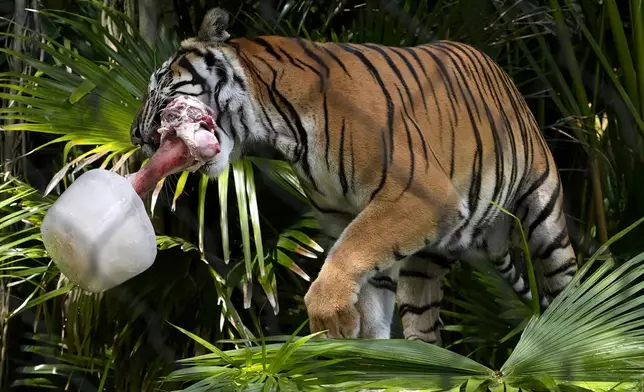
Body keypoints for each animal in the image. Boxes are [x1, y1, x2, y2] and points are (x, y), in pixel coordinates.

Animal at [130, 6, 580, 344]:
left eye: (158, 85)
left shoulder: (417, 195)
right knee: (425, 332)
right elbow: (365, 285)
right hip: (424, 267)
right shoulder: (348, 219)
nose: (135, 135)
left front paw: (329, 317)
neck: (280, 128)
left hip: (545, 215)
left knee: (567, 285)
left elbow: (348, 256)